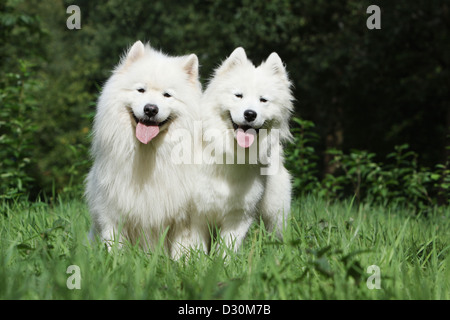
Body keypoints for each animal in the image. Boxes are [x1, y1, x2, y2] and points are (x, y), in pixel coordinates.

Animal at [85, 40, 201, 260]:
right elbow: (116, 246)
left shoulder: (184, 219)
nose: (150, 109)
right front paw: (116, 264)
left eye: (167, 95)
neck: (149, 154)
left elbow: (182, 251)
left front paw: (182, 265)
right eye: (141, 90)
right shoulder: (113, 212)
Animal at [191, 47, 294, 252]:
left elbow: (226, 249)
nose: (250, 114)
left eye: (263, 100)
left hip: (275, 211)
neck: (229, 153)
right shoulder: (194, 216)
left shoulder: (239, 215)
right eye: (238, 95)